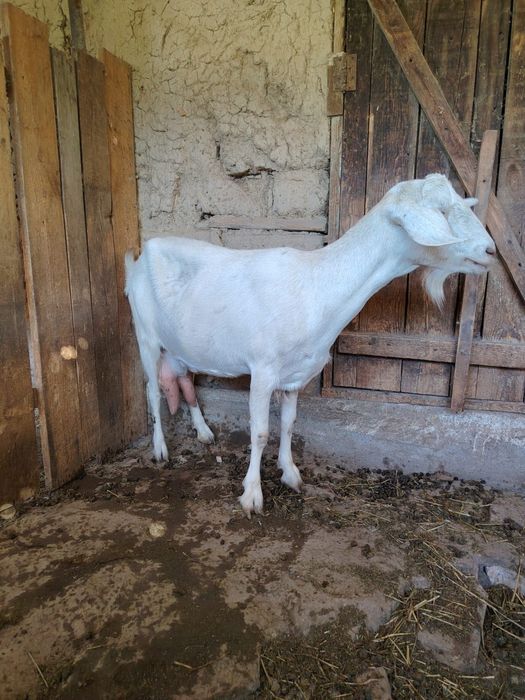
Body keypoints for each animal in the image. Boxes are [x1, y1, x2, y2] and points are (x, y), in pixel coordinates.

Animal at [125, 174, 496, 516]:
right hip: (146, 336)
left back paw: (203, 432)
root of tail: (137, 260)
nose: (490, 251)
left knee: (186, 383)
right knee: (152, 391)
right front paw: (252, 495)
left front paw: (290, 473)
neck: (316, 286)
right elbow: (260, 432)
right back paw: (160, 450)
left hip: (182, 346)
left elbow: (289, 424)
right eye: (442, 211)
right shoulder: (262, 370)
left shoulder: (294, 376)